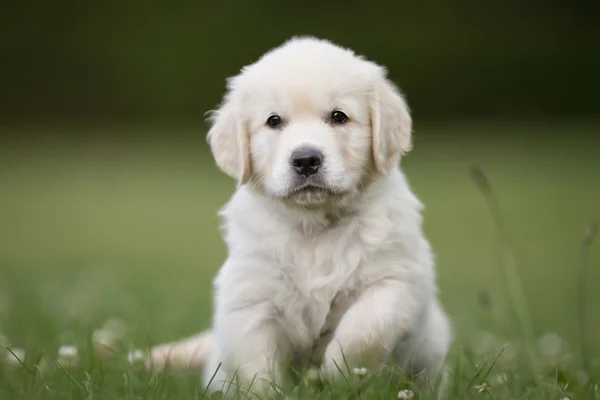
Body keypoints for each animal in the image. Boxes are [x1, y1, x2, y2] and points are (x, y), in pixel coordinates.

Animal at [149, 37, 450, 396]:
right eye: (274, 121)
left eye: (339, 117)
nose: (306, 159)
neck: (313, 227)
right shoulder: (251, 297)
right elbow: (257, 366)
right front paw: (270, 392)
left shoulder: (398, 280)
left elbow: (366, 328)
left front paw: (341, 374)